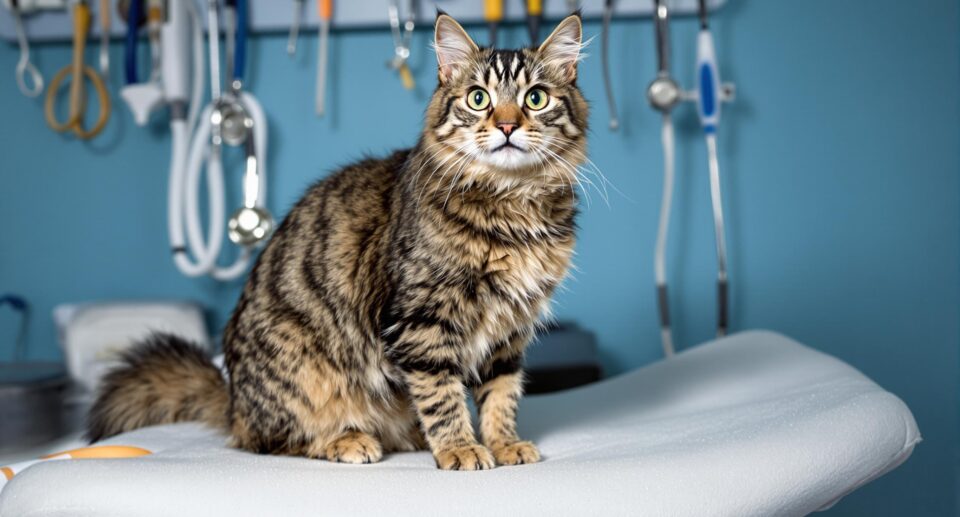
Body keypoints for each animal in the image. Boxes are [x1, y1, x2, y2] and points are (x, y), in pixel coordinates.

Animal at [88, 13, 584, 472]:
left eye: (535, 98)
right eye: (478, 99)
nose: (506, 126)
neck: (512, 203)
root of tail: (232, 402)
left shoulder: (509, 332)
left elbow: (501, 394)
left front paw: (503, 443)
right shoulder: (423, 322)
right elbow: (442, 396)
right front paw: (459, 447)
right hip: (302, 368)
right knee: (273, 440)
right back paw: (349, 440)